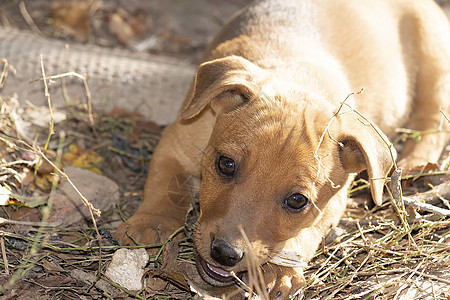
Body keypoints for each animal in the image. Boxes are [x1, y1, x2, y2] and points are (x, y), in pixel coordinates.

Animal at [117, 0, 450, 298]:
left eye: (297, 201)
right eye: (225, 164)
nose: (225, 253)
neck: (297, 73)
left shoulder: (334, 203)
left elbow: (306, 234)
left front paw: (280, 271)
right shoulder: (176, 141)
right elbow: (167, 185)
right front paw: (152, 222)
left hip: (434, 63)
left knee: (434, 120)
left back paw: (416, 161)